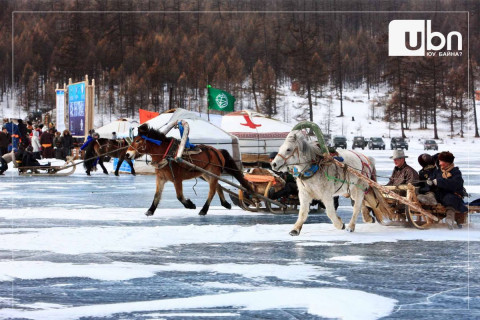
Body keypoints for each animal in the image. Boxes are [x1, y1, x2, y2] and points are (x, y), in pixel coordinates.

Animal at [124, 124, 255, 216]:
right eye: (133, 140)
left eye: (138, 141)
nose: (127, 154)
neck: (167, 154)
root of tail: (217, 151)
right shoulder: (160, 178)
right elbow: (157, 195)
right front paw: (150, 210)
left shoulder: (177, 179)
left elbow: (179, 196)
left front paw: (190, 205)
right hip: (206, 174)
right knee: (217, 186)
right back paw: (225, 203)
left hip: (213, 173)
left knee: (212, 191)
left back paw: (204, 209)